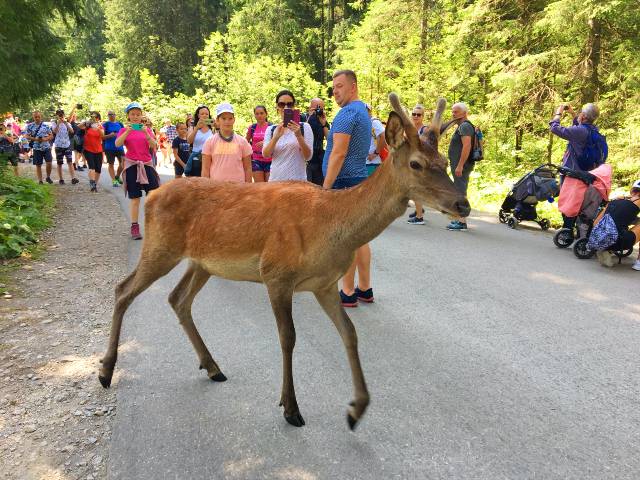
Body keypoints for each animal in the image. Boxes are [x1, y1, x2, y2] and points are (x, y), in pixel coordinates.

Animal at [99, 92, 470, 430]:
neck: (329, 228)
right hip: (161, 246)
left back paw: (213, 367)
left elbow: (349, 333)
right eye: (416, 164)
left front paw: (357, 408)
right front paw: (291, 408)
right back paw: (105, 370)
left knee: (177, 299)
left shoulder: (325, 284)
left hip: (201, 262)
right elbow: (288, 337)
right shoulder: (276, 273)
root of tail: (154, 195)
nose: (463, 204)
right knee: (123, 290)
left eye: (444, 162)